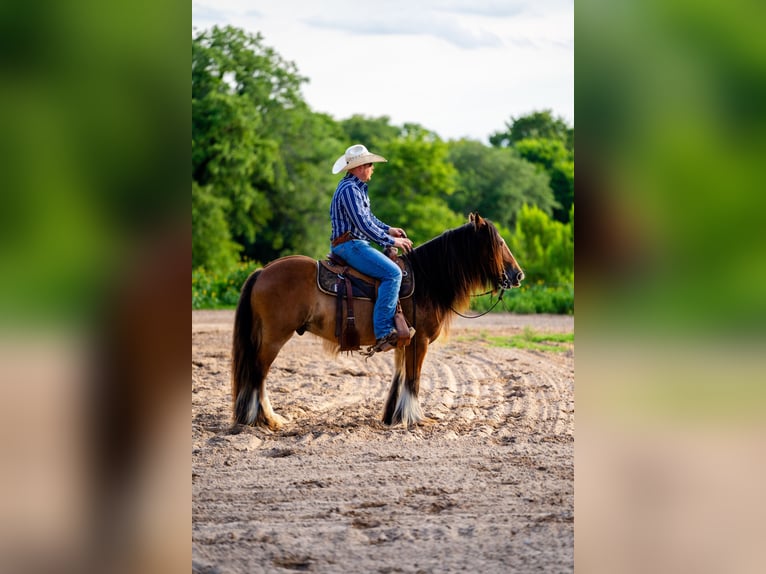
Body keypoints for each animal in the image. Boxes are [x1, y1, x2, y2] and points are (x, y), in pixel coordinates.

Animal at [231, 213, 524, 429]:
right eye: (499, 244)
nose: (518, 274)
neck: (427, 279)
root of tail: (263, 271)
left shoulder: (404, 341)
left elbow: (400, 377)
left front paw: (393, 417)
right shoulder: (420, 341)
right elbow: (413, 380)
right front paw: (415, 418)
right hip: (274, 337)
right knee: (258, 373)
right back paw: (267, 419)